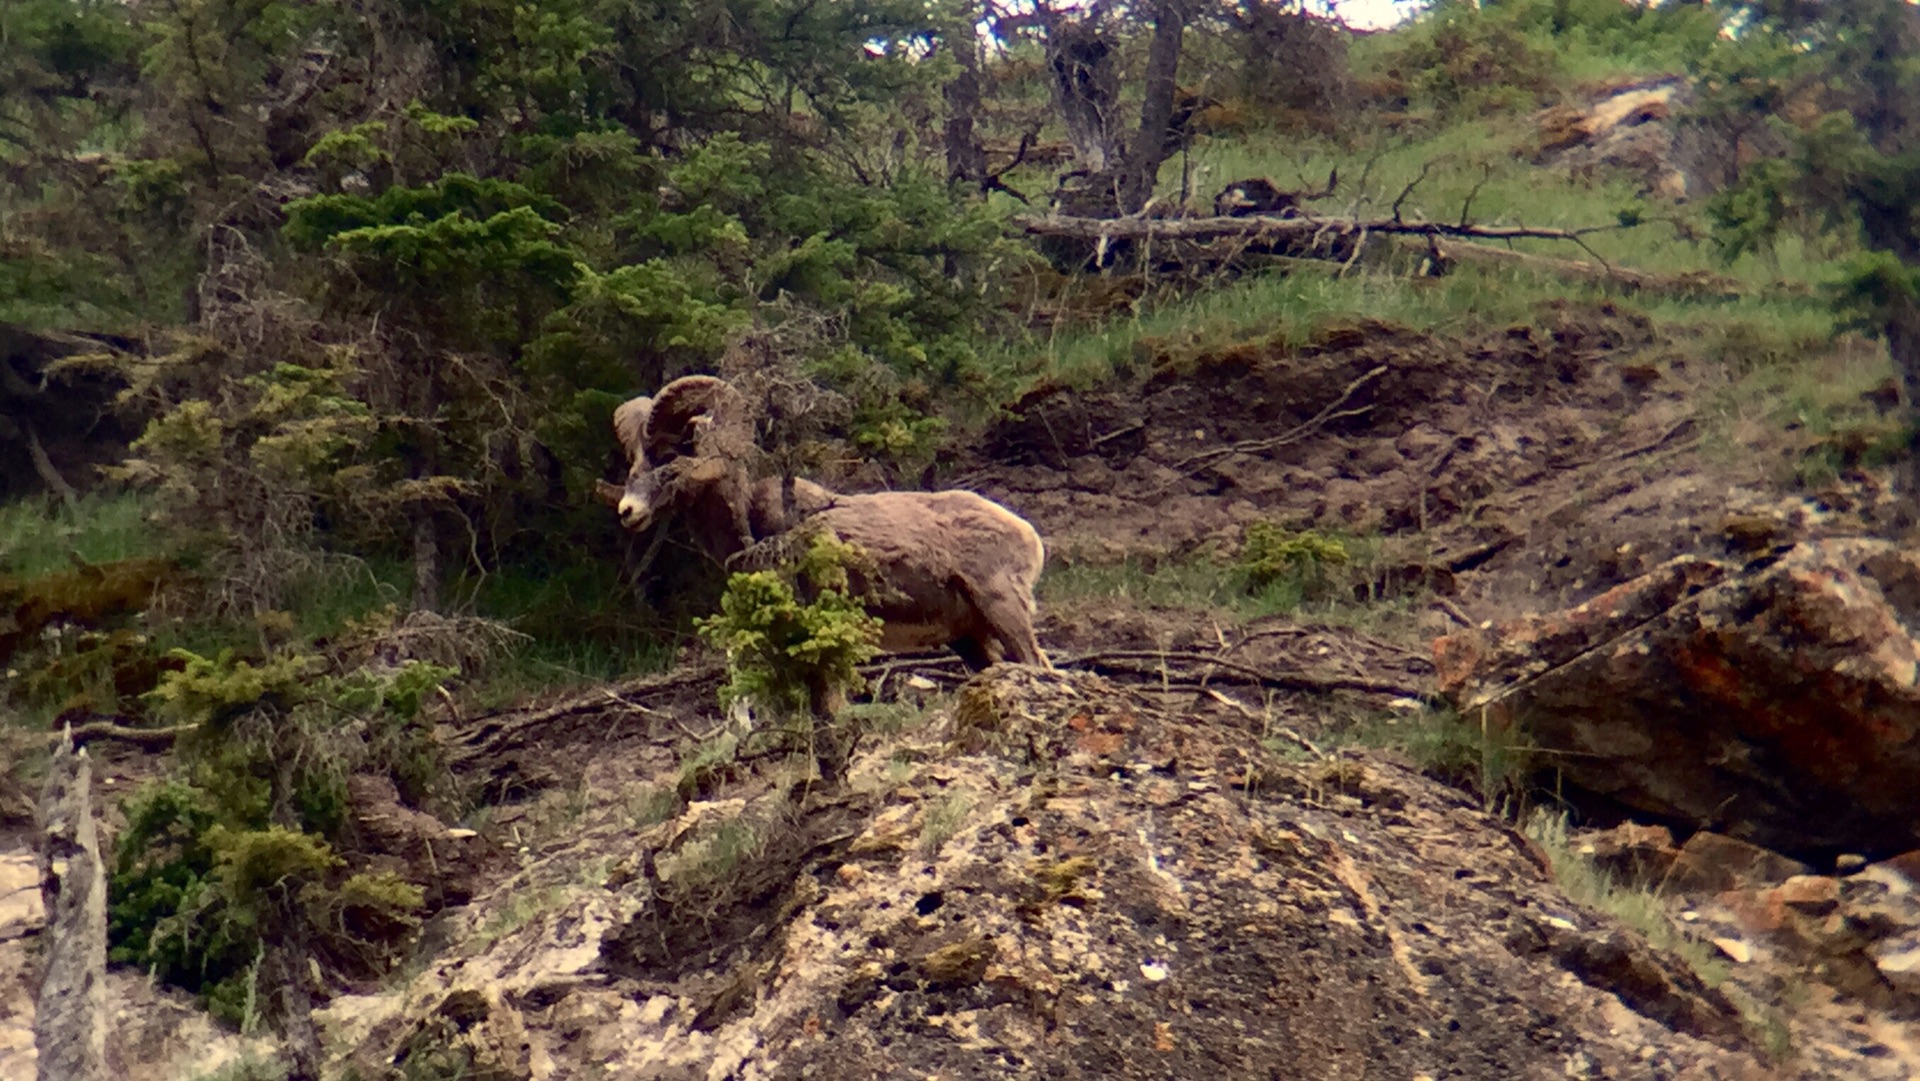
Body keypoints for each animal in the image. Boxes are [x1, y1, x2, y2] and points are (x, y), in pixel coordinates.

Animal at [595, 376, 1052, 672]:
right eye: (634, 461)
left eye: (669, 457)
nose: (628, 511)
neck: (753, 526)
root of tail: (1027, 534)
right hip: (971, 639)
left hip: (1004, 609)